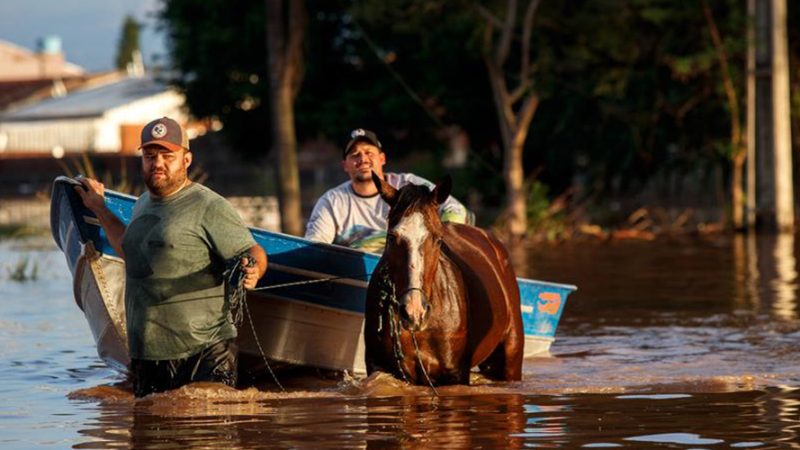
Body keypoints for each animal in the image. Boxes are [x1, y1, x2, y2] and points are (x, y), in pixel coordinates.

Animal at [364, 174, 524, 384]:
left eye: (438, 239)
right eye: (391, 237)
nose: (414, 311)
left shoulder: (454, 374)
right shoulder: (382, 368)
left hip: (510, 360)